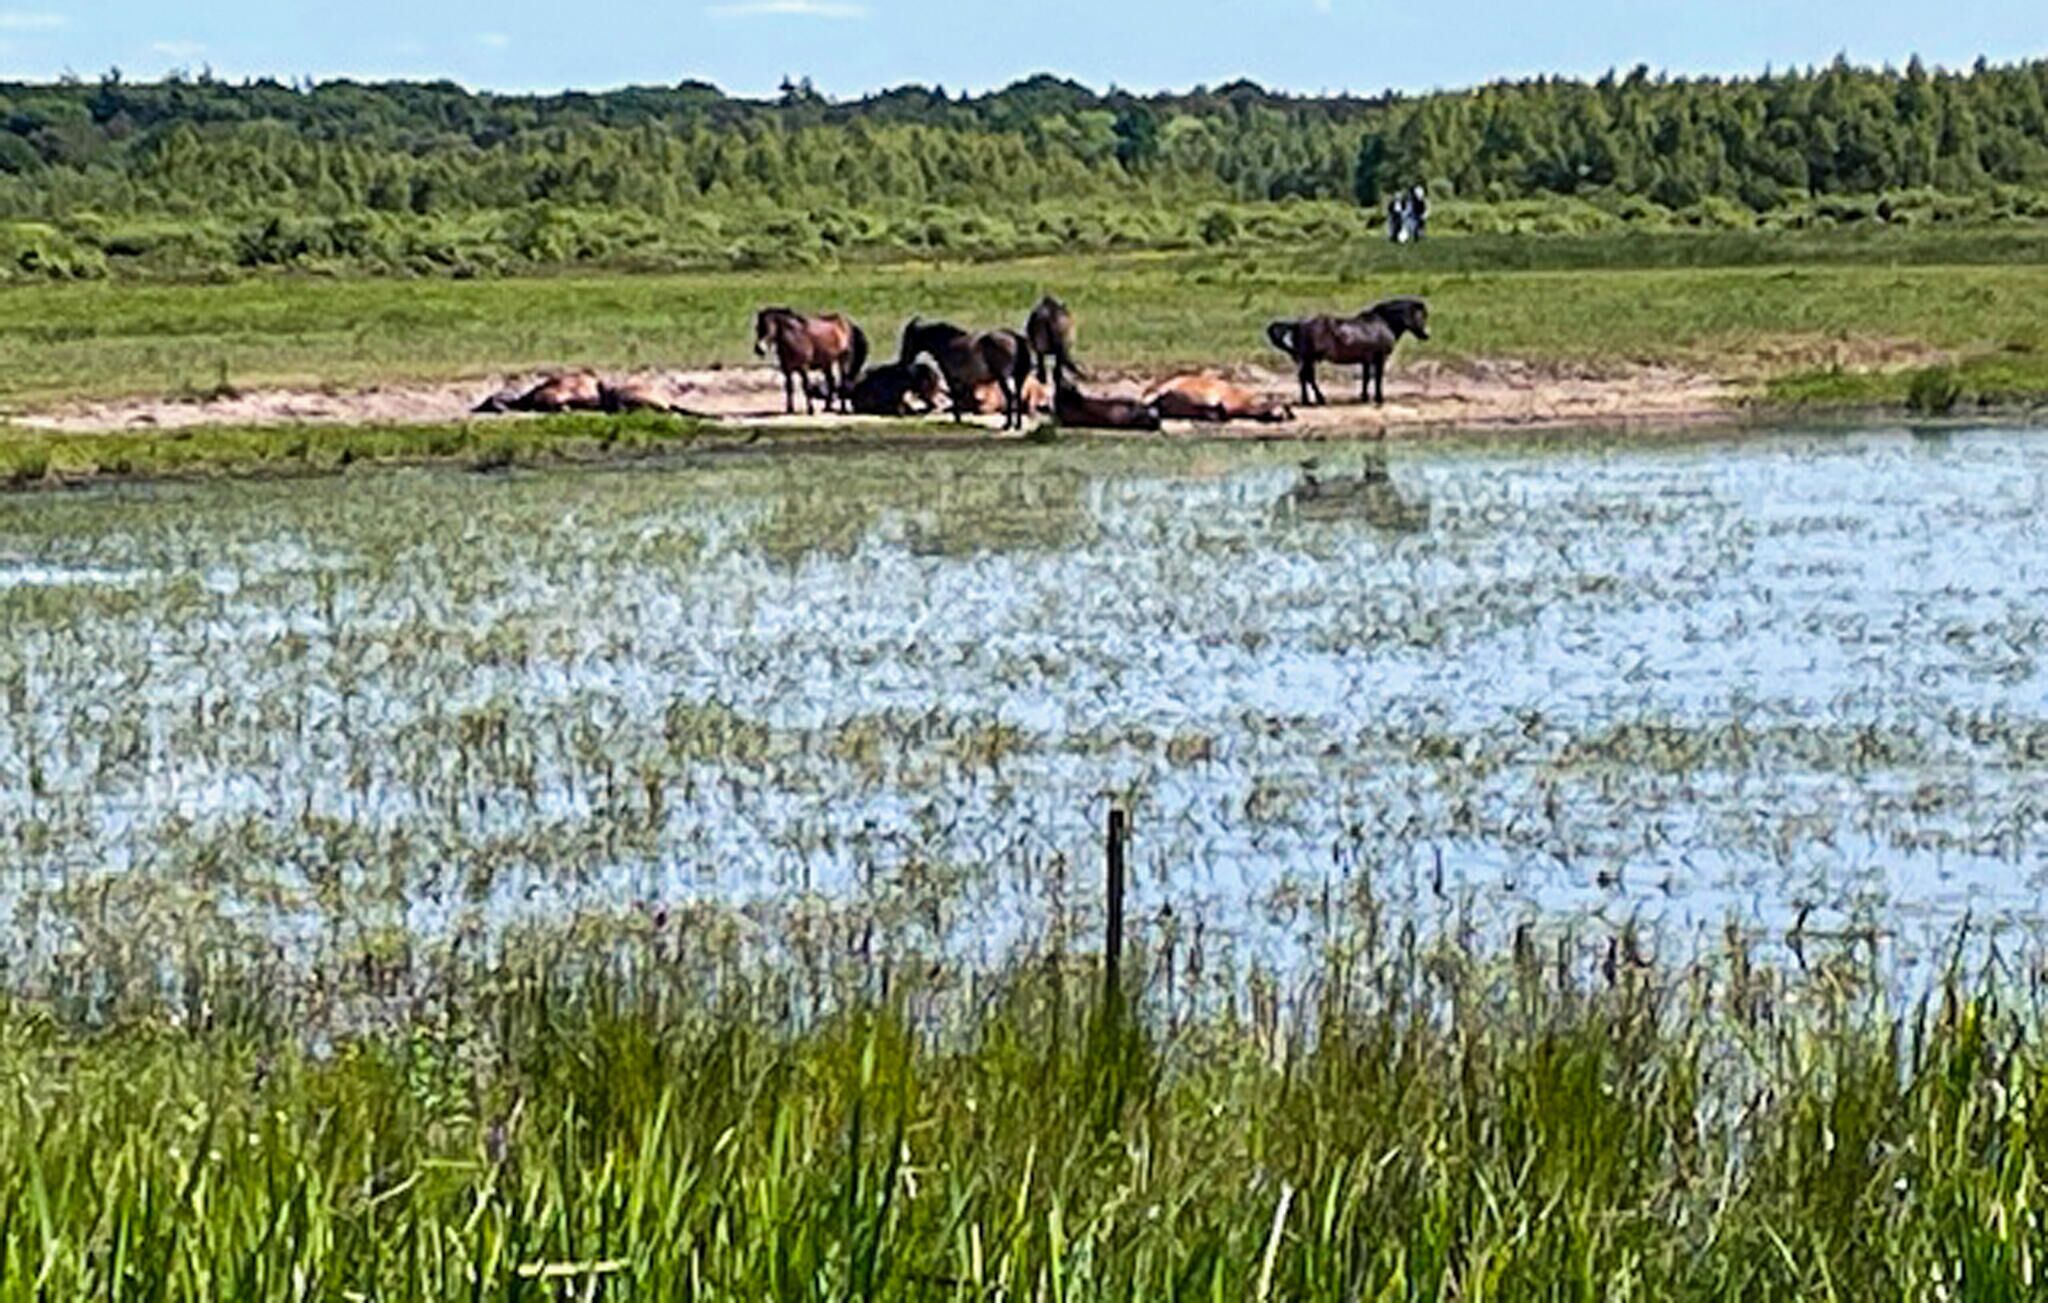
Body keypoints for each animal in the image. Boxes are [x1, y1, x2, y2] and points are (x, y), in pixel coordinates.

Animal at [898, 318, 1035, 430]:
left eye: (907, 338)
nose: (903, 360)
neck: (947, 343)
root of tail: (1013, 336)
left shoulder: (951, 378)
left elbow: (955, 396)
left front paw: (957, 419)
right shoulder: (963, 381)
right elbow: (960, 397)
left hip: (1003, 379)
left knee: (1010, 396)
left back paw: (1007, 425)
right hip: (1019, 378)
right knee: (1017, 396)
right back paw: (1017, 425)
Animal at [1266, 297, 1430, 407]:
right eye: (1421, 316)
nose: (1426, 335)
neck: (1382, 323)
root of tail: (1298, 324)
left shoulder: (1366, 360)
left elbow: (1366, 378)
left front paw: (1364, 397)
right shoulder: (1380, 358)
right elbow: (1378, 377)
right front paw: (1378, 398)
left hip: (1306, 359)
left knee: (1304, 377)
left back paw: (1309, 400)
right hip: (1308, 358)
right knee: (1307, 377)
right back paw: (1317, 399)